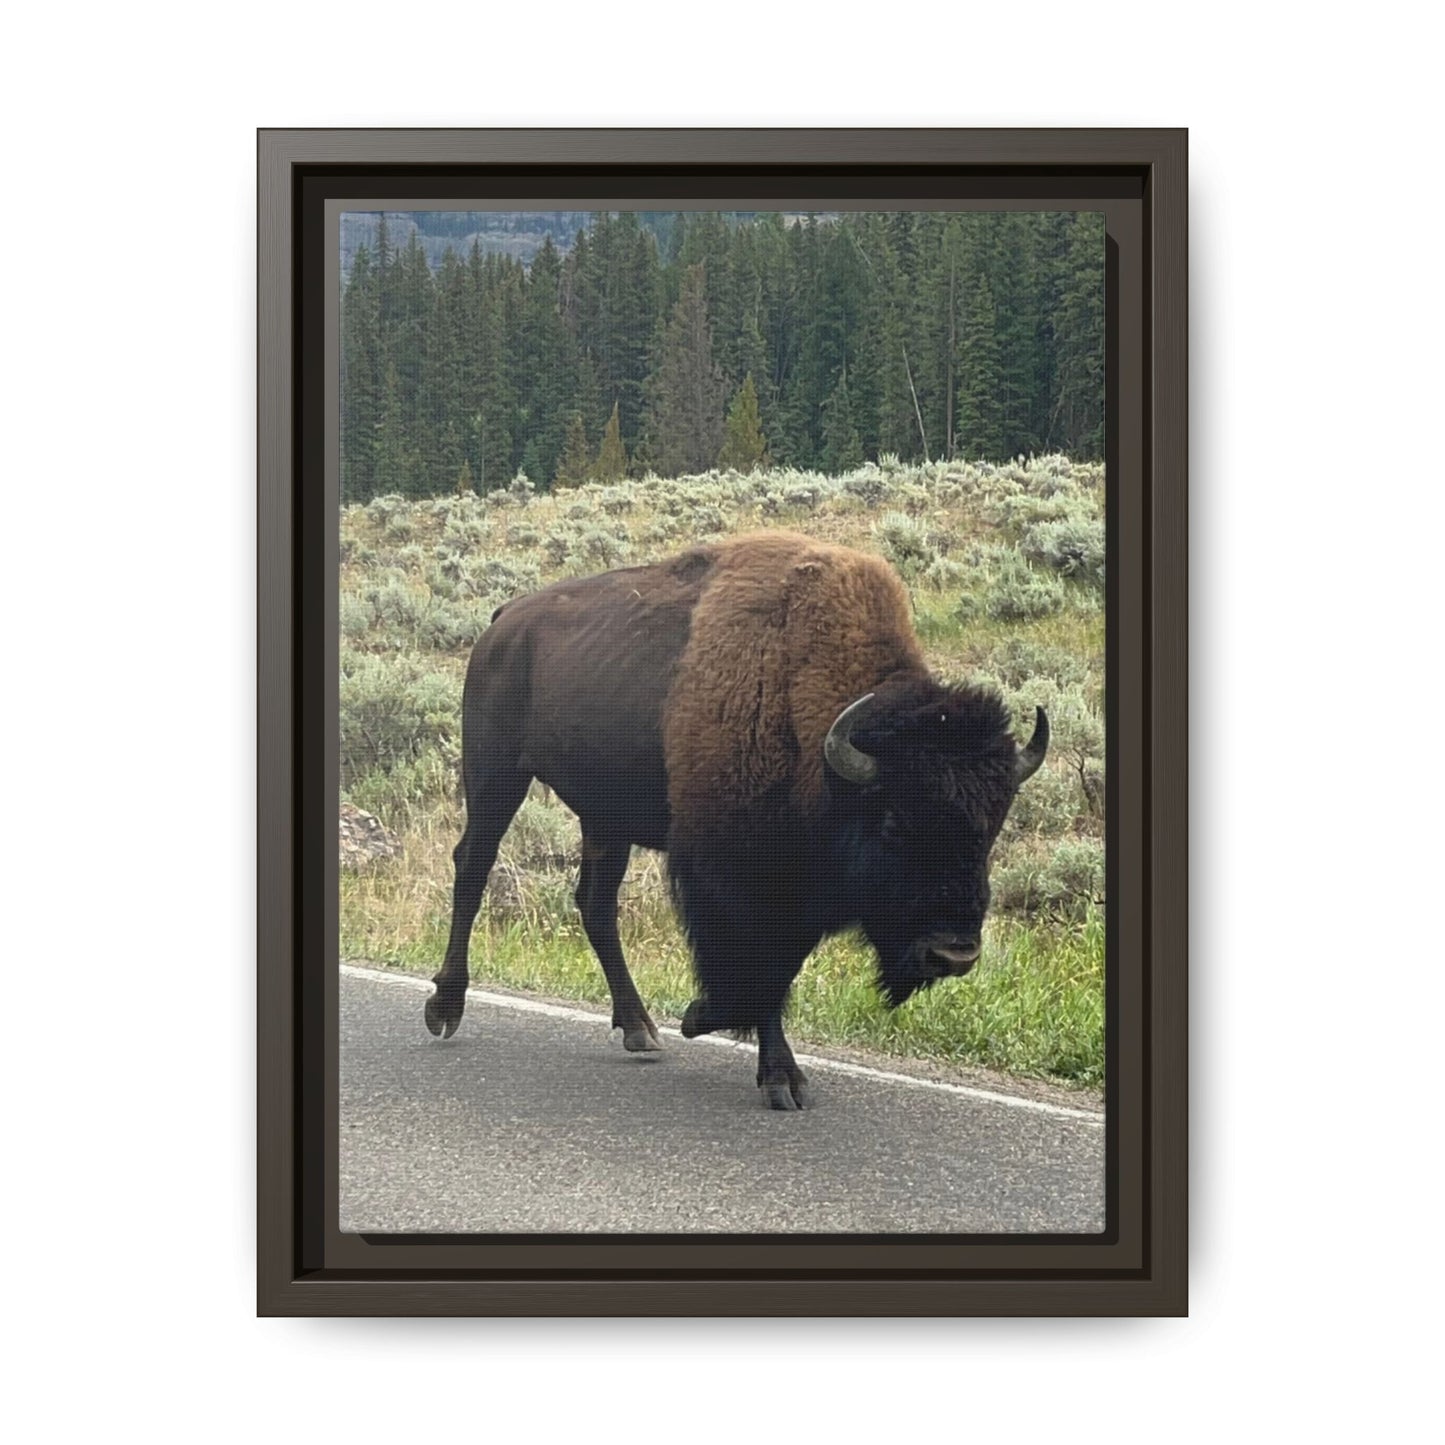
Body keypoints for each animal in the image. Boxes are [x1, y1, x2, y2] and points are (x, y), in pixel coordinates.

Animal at [426, 530, 1048, 1110]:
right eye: (893, 822)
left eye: (992, 827)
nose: (954, 953)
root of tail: (504, 621)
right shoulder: (736, 878)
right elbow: (758, 967)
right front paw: (760, 1063)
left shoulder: (795, 889)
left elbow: (779, 969)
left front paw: (724, 1034)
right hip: (496, 775)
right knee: (473, 867)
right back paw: (444, 1007)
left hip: (605, 817)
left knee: (596, 905)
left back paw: (639, 1028)